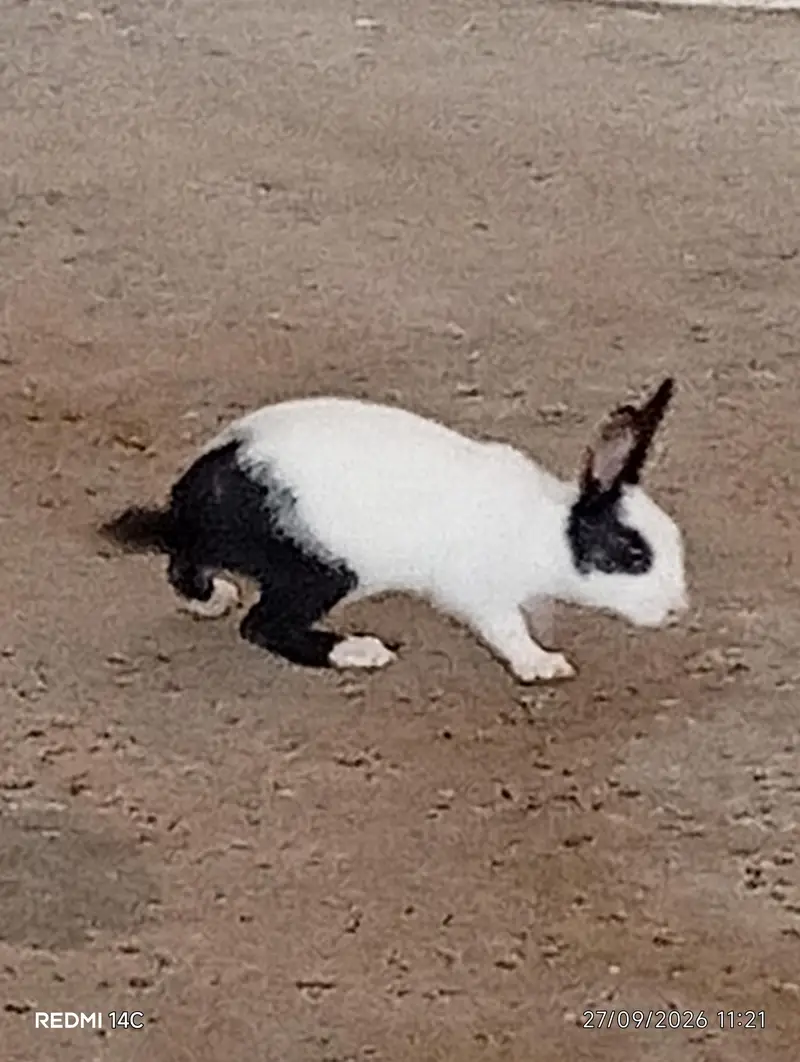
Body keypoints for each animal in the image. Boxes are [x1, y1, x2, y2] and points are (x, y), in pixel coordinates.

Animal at [99, 377, 688, 683]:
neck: (544, 531)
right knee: (264, 627)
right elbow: (508, 630)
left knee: (186, 565)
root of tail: (191, 501)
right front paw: (542, 665)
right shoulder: (480, 592)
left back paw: (212, 597)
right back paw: (359, 652)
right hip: (319, 572)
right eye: (634, 554)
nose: (677, 609)